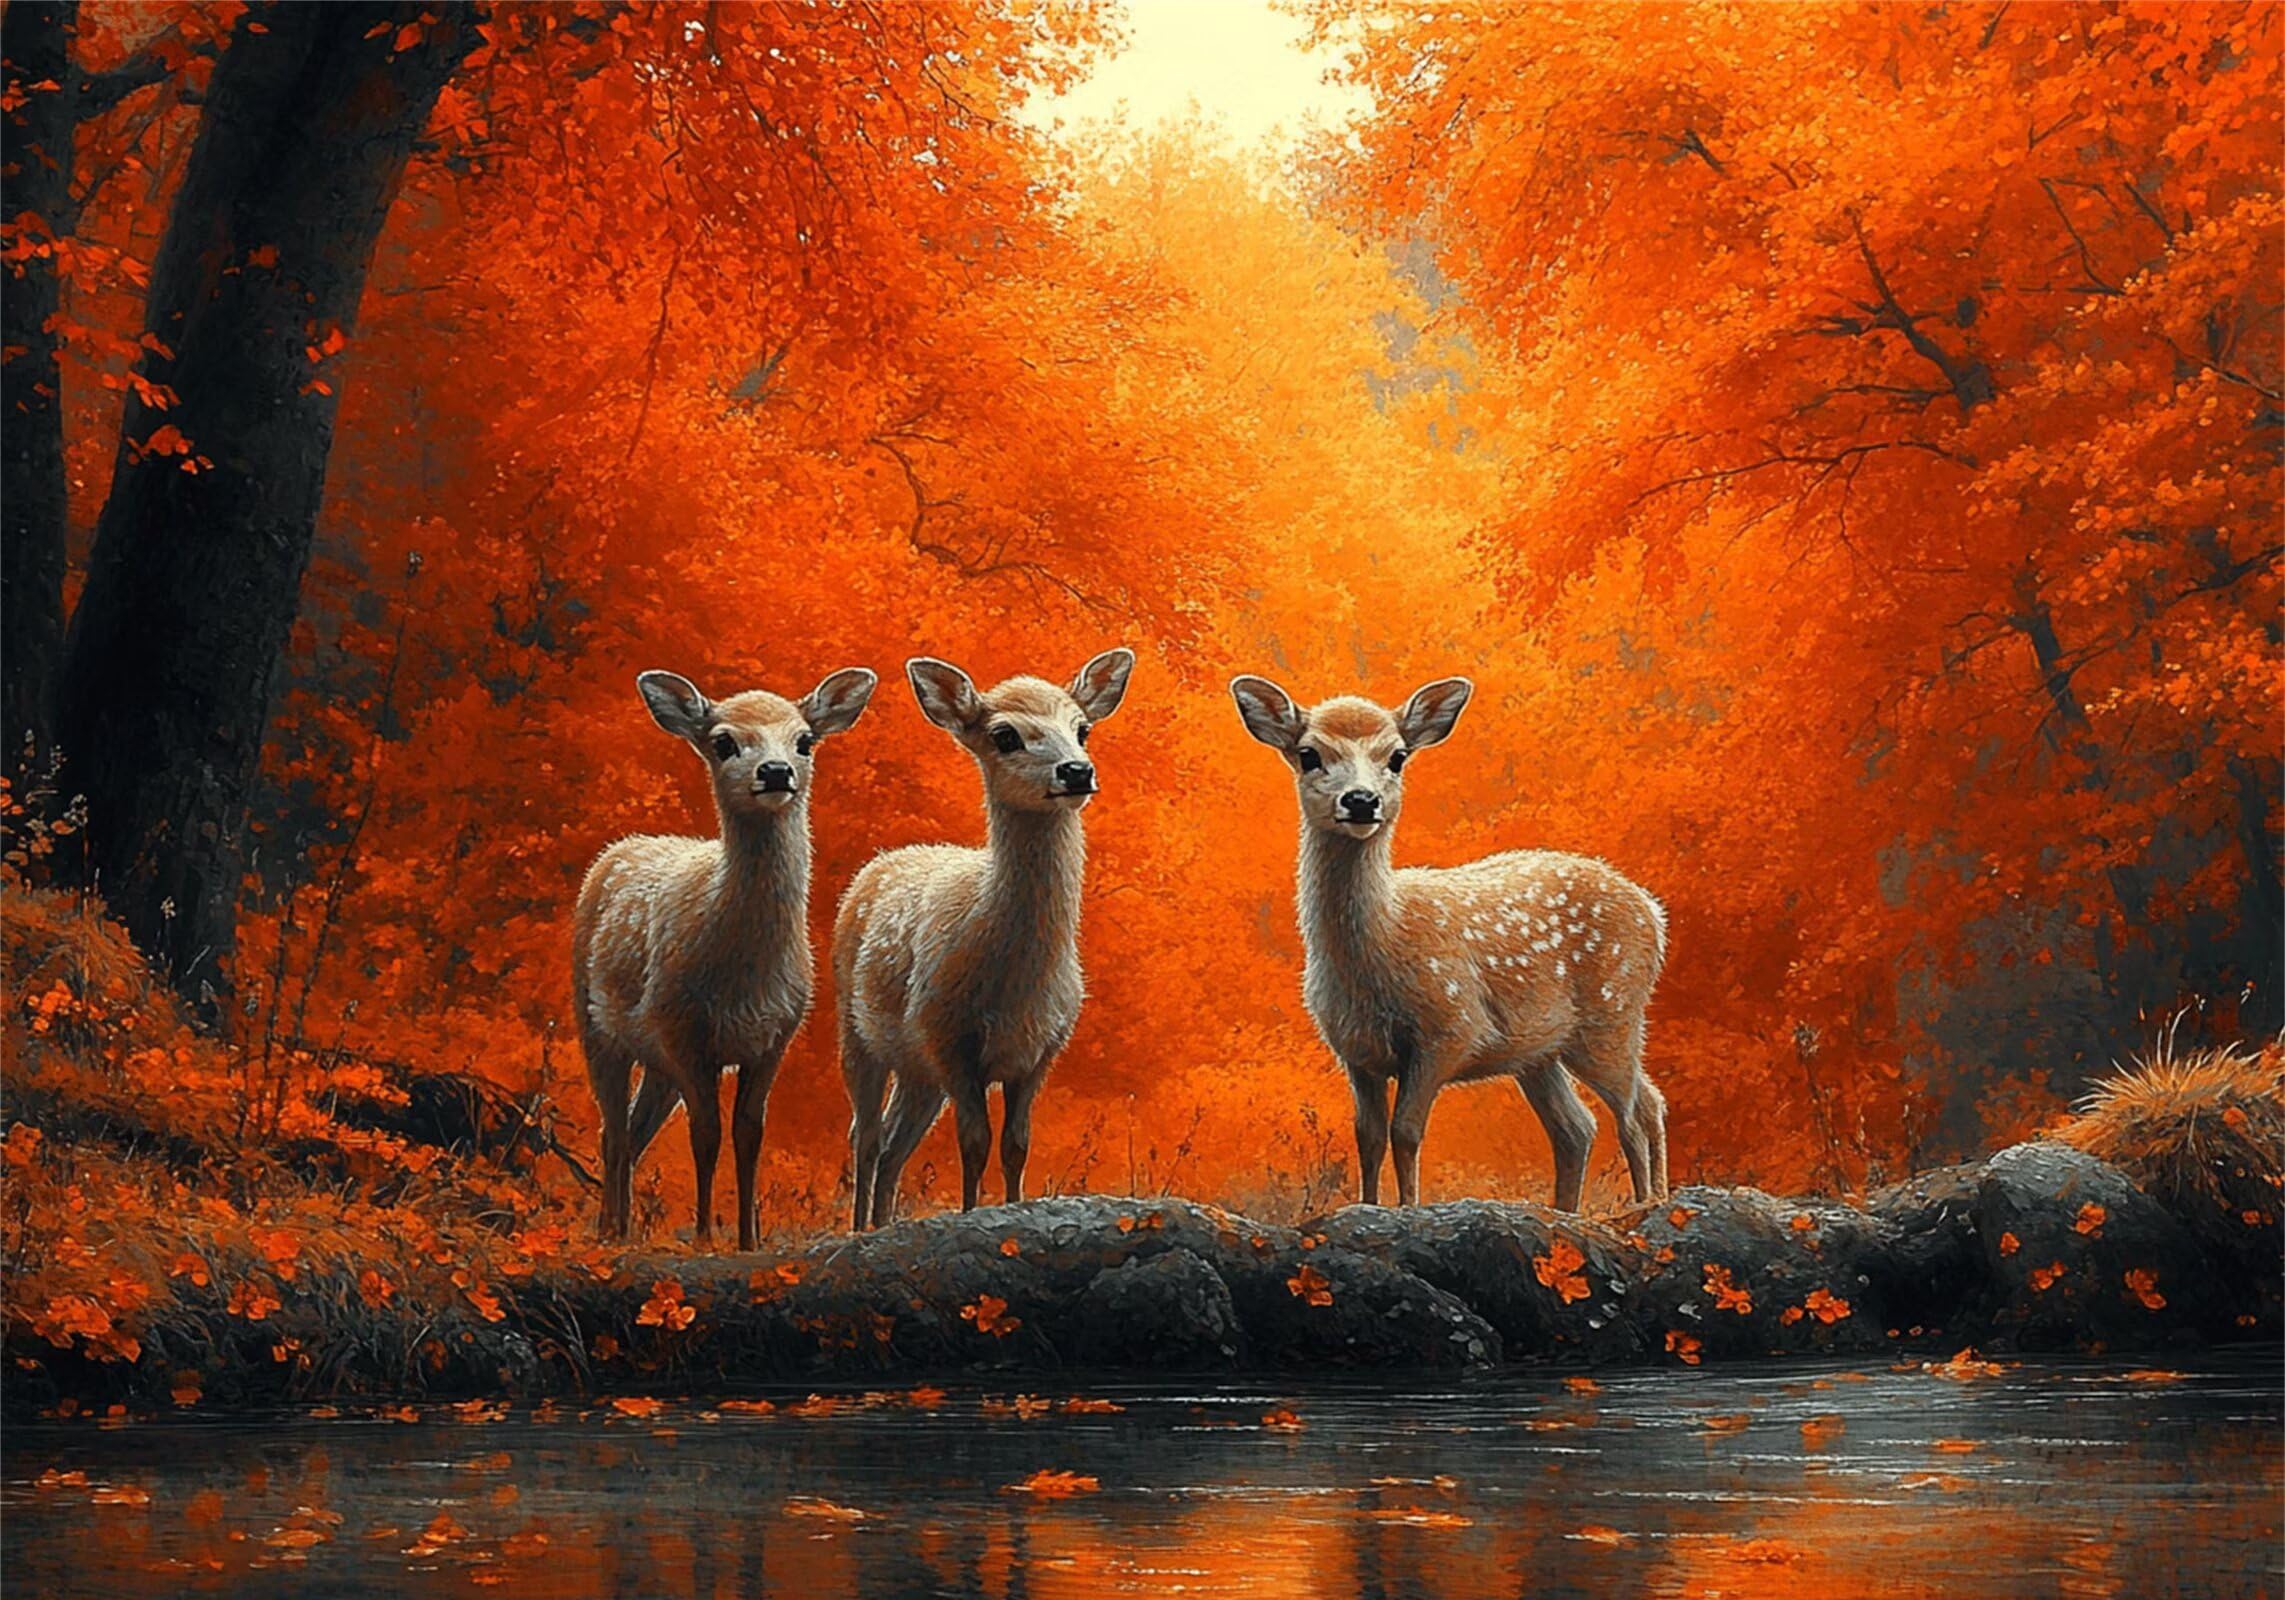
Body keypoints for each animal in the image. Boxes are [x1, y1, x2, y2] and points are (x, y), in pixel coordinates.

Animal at [573, 664, 877, 1250]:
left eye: (805, 740)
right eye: (723, 742)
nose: (776, 772)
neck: (744, 976)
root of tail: (617, 850)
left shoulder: (775, 1035)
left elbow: (749, 1133)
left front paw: (748, 1239)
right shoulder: (684, 1031)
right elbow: (706, 1134)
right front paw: (704, 1236)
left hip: (657, 1059)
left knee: (635, 1129)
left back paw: (623, 1227)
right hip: (594, 1022)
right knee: (612, 1129)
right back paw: (609, 1231)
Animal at [835, 648, 1136, 1230]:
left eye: (1082, 729)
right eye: (1004, 735)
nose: (1077, 771)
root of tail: (884, 860)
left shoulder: (1042, 1048)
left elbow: (1016, 1145)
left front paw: (1015, 1211)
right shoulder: (951, 1039)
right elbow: (974, 1143)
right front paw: (972, 1215)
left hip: (919, 1069)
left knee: (895, 1143)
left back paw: (883, 1224)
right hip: (855, 1029)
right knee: (866, 1136)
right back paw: (860, 1229)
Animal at [1229, 673, 1669, 1213]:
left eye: (1397, 756)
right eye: (1309, 753)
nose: (1361, 800)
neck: (1382, 944)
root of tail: (1652, 910)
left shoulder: (1451, 1028)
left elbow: (1406, 1130)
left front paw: (1408, 1209)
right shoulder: (1355, 1049)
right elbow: (1368, 1136)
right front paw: (1370, 1206)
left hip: (1613, 1014)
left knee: (1636, 1108)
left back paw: (1645, 1204)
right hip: (1540, 1050)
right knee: (1580, 1126)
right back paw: (1575, 1209)